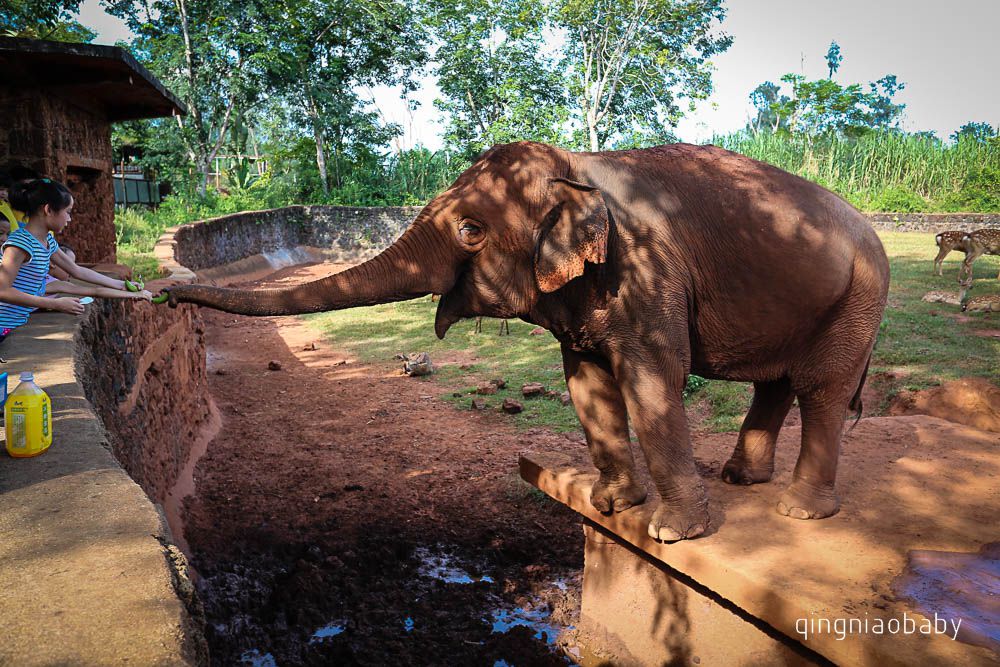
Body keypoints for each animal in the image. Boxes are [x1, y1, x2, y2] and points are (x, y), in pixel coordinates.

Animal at [166, 142, 892, 544]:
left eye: (469, 231)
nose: (166, 293)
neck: (579, 168)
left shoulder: (649, 270)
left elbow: (654, 378)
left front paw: (672, 531)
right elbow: (586, 381)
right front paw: (611, 505)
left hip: (861, 298)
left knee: (821, 388)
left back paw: (801, 511)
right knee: (777, 383)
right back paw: (741, 479)